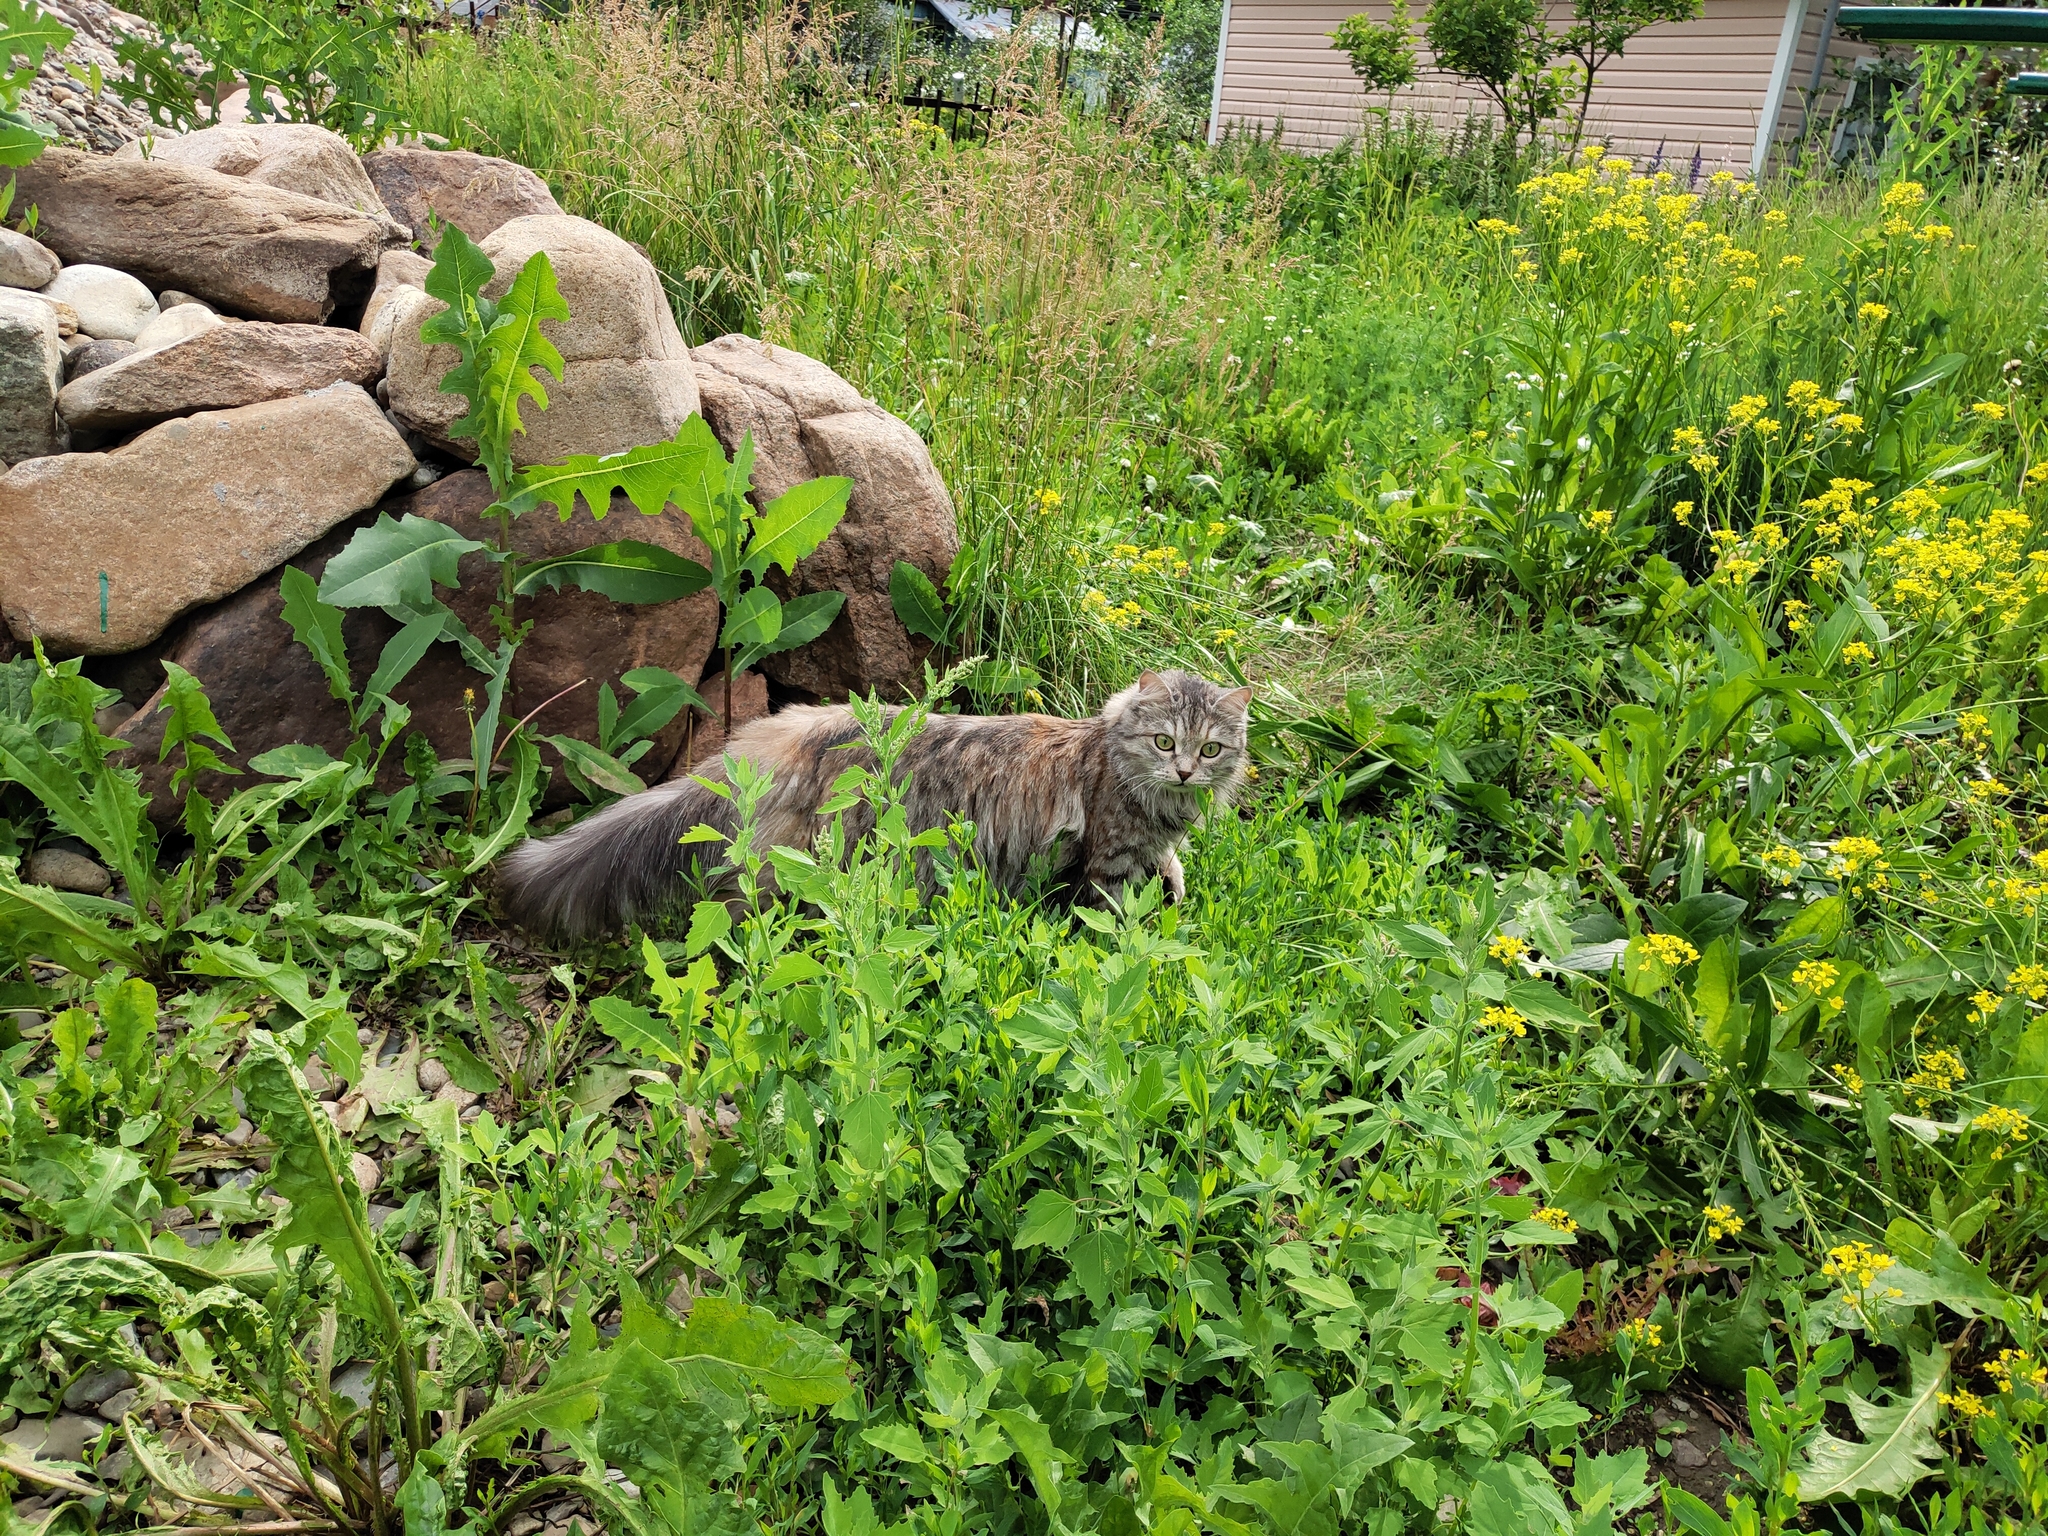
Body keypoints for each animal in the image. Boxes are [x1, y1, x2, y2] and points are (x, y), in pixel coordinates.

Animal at [503, 671, 1253, 946]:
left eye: (1211, 748)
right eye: (1164, 742)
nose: (1186, 770)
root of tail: (792, 734)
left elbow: (1172, 867)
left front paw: (1176, 885)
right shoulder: (1107, 865)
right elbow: (1115, 922)